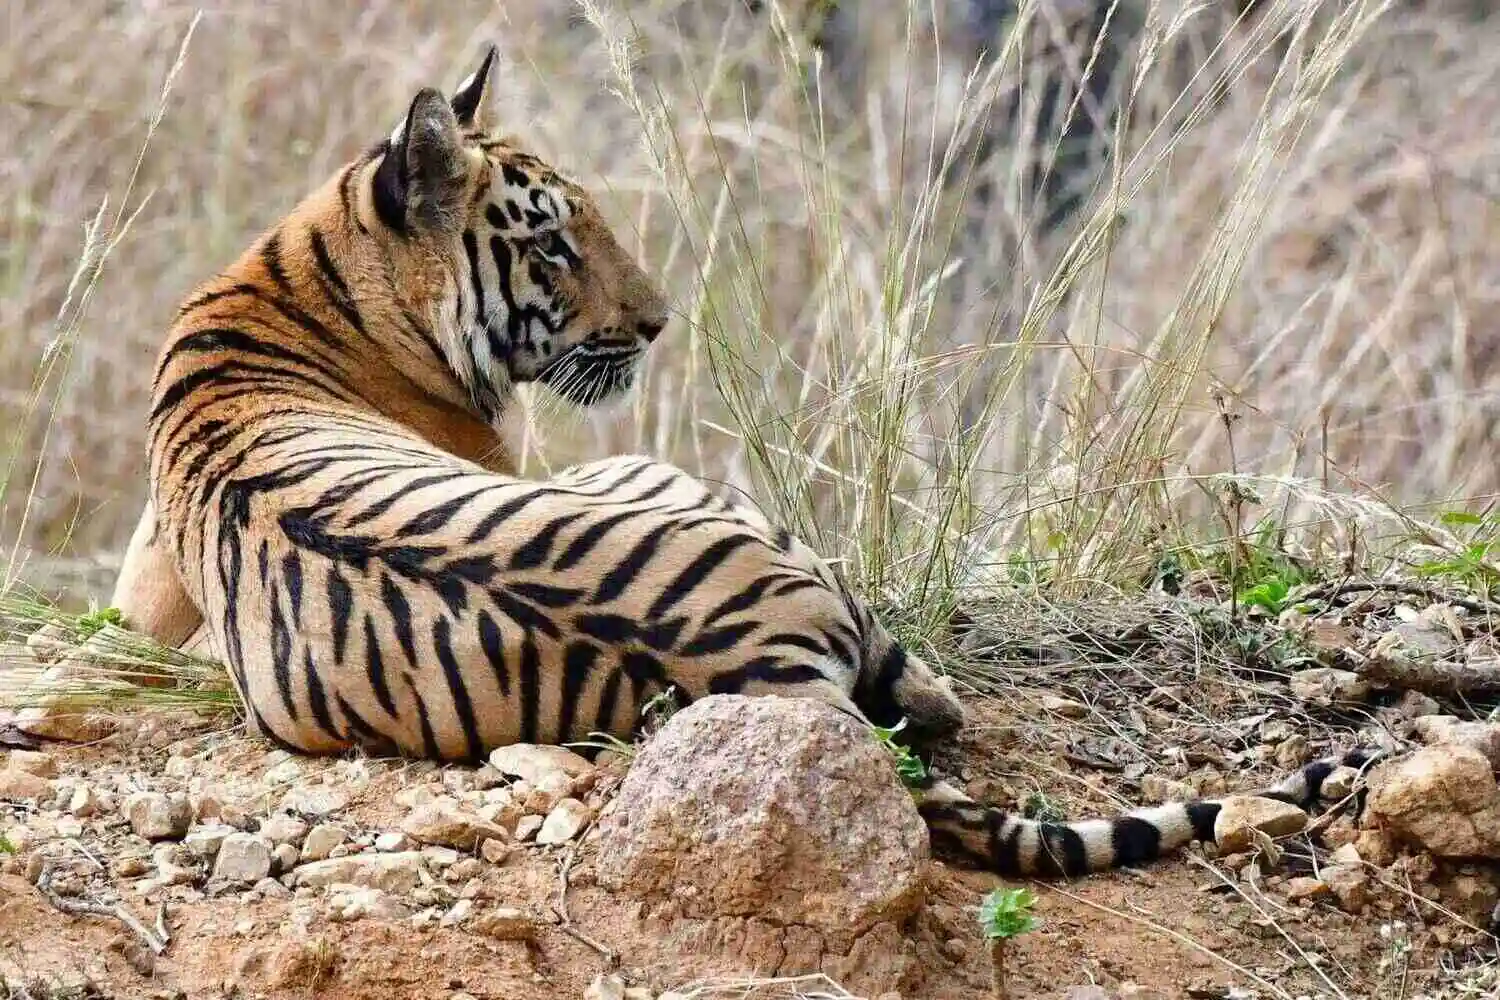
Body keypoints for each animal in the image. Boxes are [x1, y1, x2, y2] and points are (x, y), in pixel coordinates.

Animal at [17, 46, 1374, 875]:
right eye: (552, 245)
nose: (662, 320)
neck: (305, 275)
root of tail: (762, 659)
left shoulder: (144, 588)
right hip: (687, 489)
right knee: (933, 694)